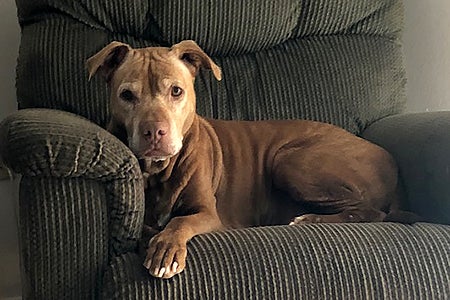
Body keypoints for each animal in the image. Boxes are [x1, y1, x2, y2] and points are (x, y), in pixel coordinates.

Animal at [86, 39, 402, 278]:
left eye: (176, 91)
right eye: (127, 95)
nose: (154, 132)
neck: (159, 171)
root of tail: (387, 158)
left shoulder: (207, 213)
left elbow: (180, 222)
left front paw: (166, 248)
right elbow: (147, 226)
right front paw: (150, 238)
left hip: (289, 162)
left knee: (372, 212)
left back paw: (310, 219)